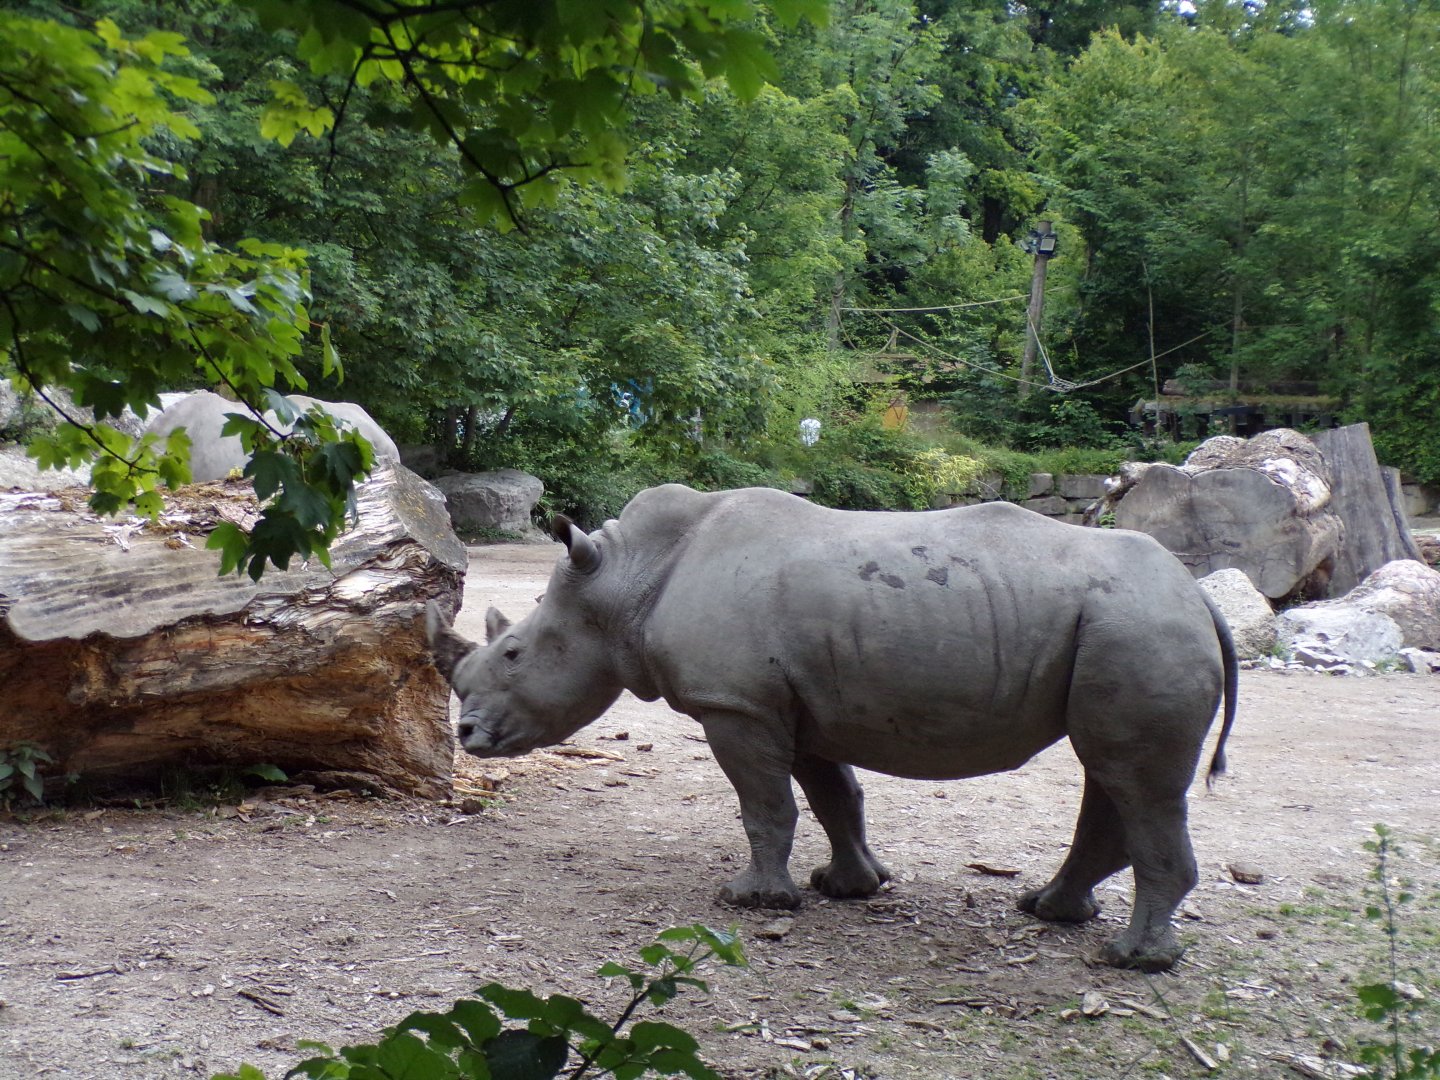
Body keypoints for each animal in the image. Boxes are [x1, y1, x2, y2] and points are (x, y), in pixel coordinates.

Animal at [427, 484, 1237, 972]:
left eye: (513, 652)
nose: (467, 736)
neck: (623, 581)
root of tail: (1199, 596)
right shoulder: (796, 704)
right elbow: (831, 797)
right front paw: (849, 888)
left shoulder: (737, 704)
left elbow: (765, 804)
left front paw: (752, 901)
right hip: (1123, 626)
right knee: (1113, 771)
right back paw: (1052, 912)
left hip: (1138, 628)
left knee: (1133, 778)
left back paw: (1132, 959)